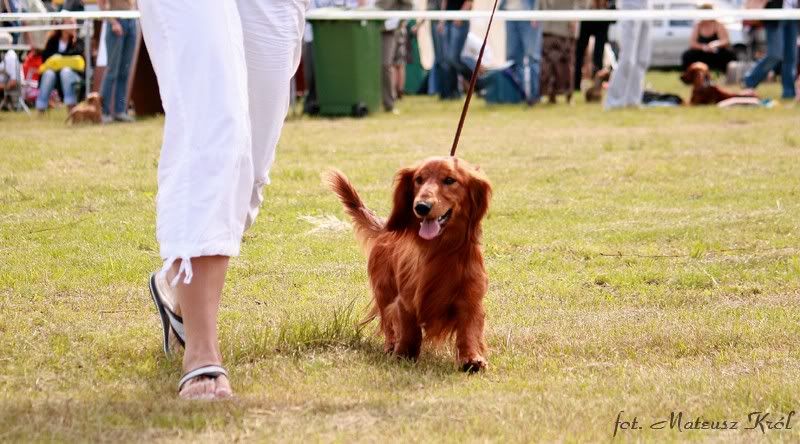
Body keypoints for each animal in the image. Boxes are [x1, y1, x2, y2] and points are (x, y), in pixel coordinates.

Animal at [328, 157, 492, 372]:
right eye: (418, 180)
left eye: (450, 180)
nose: (421, 207)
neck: (440, 250)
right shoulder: (405, 300)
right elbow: (409, 330)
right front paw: (403, 354)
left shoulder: (470, 297)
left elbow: (469, 330)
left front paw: (471, 358)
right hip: (384, 290)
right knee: (387, 322)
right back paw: (390, 346)